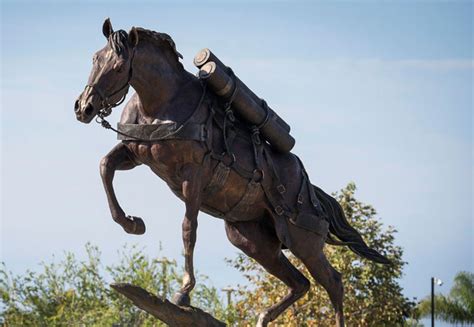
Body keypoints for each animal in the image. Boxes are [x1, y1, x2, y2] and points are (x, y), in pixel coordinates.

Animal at [74, 19, 388, 326]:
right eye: (95, 58)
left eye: (118, 67)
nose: (84, 107)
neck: (161, 104)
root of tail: (311, 190)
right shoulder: (135, 155)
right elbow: (105, 167)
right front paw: (132, 223)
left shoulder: (193, 176)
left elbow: (188, 229)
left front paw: (184, 293)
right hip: (251, 240)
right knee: (300, 283)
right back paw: (263, 318)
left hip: (303, 242)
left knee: (333, 282)